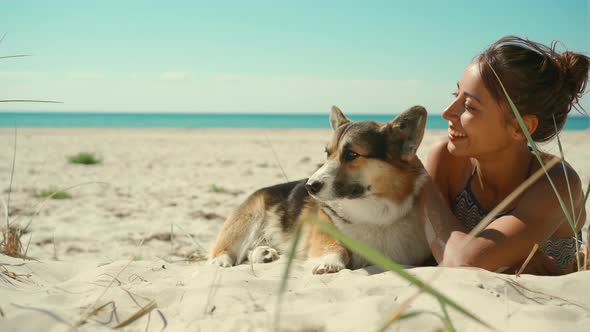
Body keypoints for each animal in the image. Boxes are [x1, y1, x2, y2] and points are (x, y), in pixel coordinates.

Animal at [208, 105, 430, 274]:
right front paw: (329, 263)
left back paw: (264, 253)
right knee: (224, 248)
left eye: (351, 154)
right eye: (327, 153)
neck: (375, 213)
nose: (309, 186)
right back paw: (221, 261)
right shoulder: (323, 226)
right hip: (248, 220)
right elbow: (335, 247)